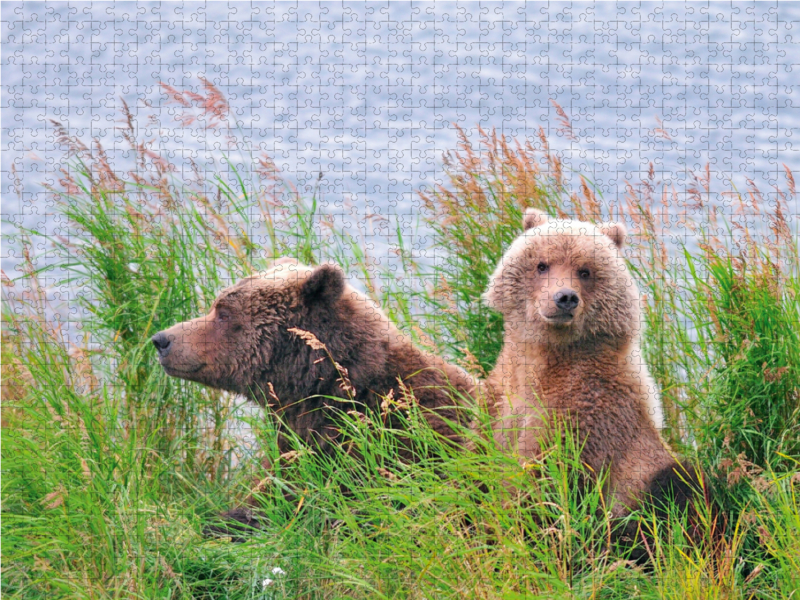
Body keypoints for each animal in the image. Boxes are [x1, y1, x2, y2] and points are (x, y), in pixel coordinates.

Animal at [482, 207, 700, 552]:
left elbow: (539, 479)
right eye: (542, 264)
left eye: (584, 271)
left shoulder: (583, 411)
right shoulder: (501, 396)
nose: (565, 298)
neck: (548, 358)